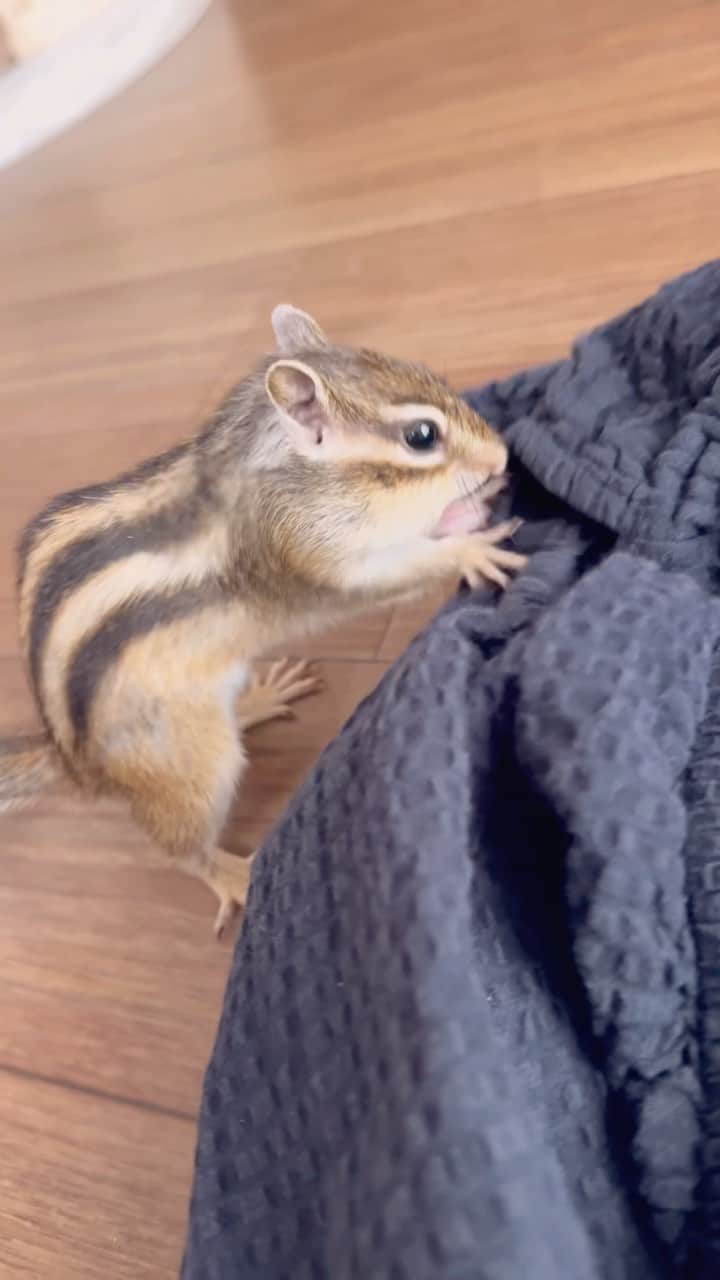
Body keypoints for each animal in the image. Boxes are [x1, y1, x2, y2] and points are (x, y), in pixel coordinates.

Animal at [0, 305, 525, 936]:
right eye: (421, 436)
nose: (502, 457)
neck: (280, 473)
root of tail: (77, 768)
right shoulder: (308, 556)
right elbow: (392, 572)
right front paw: (469, 544)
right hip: (192, 768)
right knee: (181, 850)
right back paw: (232, 875)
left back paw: (258, 701)